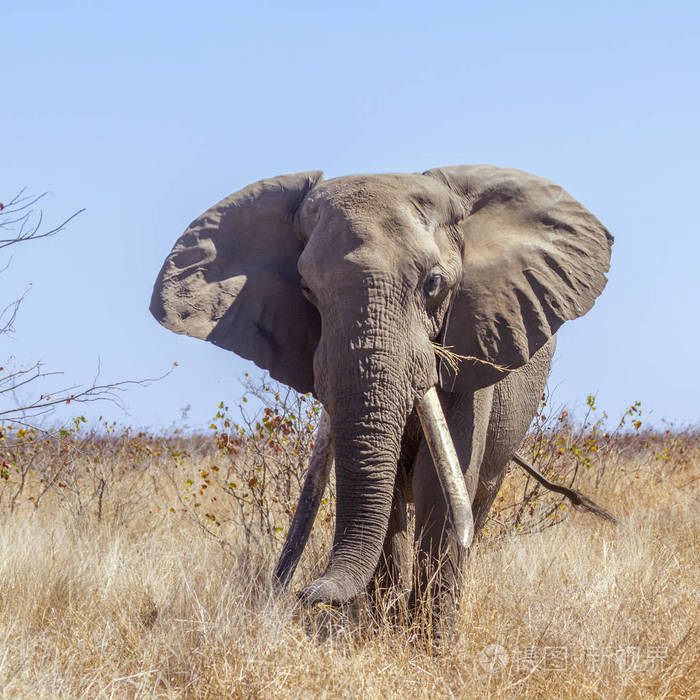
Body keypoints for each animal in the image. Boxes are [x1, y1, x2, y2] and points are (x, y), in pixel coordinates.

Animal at [150, 165, 614, 617]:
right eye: (306, 290)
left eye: (433, 284)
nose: (304, 594)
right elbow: (384, 488)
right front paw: (382, 626)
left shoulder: (474, 340)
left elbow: (439, 483)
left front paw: (427, 637)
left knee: (478, 499)